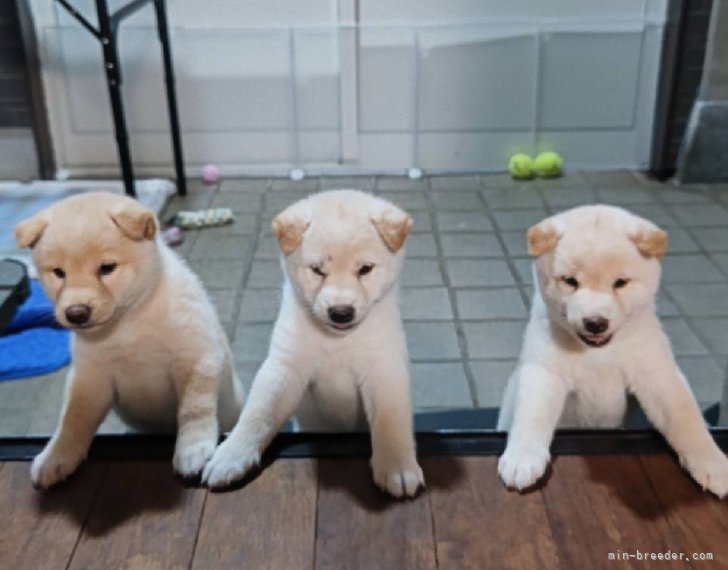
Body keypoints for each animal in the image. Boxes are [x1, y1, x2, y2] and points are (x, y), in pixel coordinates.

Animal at [14, 191, 245, 484]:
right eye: (58, 273)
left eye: (107, 268)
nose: (76, 313)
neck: (127, 324)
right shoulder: (91, 377)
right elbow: (73, 419)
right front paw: (56, 457)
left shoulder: (196, 356)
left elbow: (194, 407)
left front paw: (193, 449)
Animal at [202, 189, 424, 494]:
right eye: (317, 270)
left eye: (365, 269)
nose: (341, 312)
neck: (337, 341)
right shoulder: (285, 368)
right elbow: (258, 413)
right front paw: (231, 455)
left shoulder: (383, 367)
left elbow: (391, 421)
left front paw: (397, 466)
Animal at [498, 205, 728, 496]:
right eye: (570, 281)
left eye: (620, 282)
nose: (595, 323)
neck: (599, 354)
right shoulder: (545, 370)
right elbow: (532, 415)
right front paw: (522, 459)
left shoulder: (655, 373)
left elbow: (685, 418)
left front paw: (713, 463)